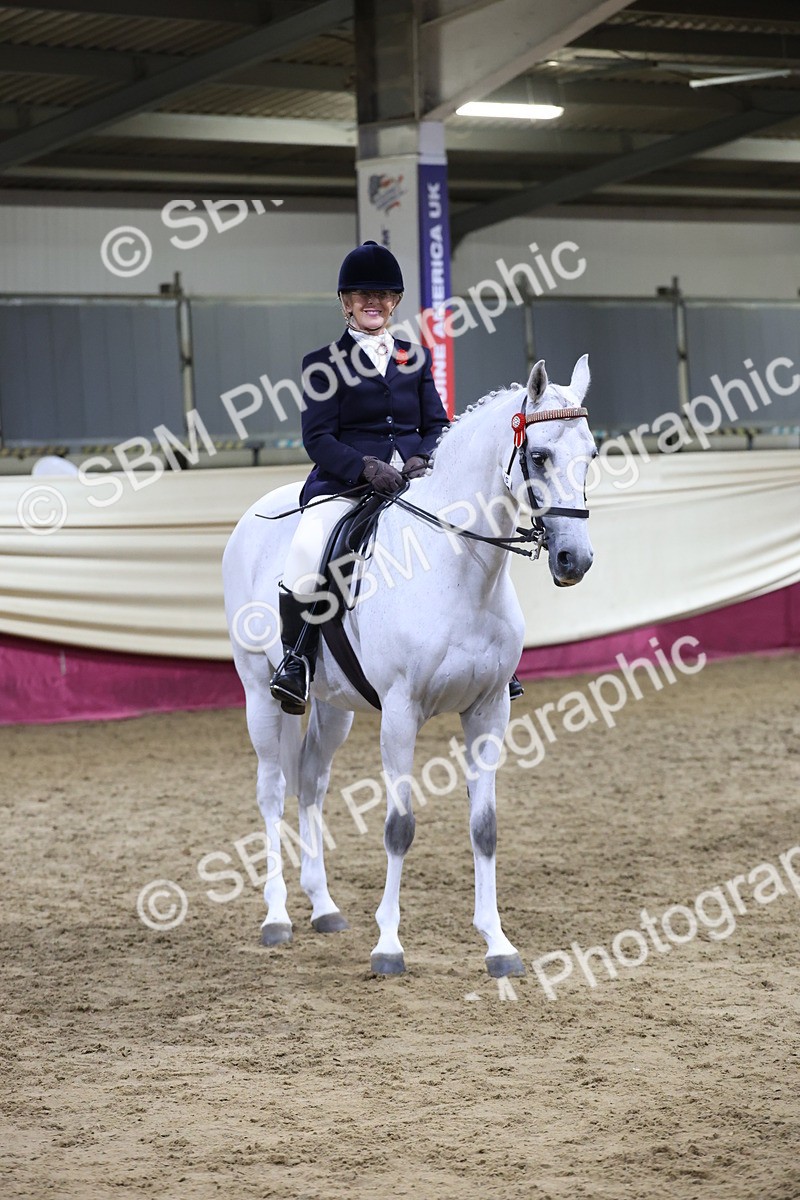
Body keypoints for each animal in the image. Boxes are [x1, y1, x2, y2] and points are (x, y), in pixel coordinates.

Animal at [222, 356, 596, 978]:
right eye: (540, 455)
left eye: (591, 453)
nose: (576, 560)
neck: (460, 568)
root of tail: (252, 516)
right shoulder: (400, 713)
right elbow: (399, 827)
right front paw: (389, 947)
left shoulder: (489, 710)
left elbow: (485, 828)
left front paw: (498, 945)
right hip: (259, 692)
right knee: (271, 789)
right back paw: (277, 918)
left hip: (334, 705)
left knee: (310, 782)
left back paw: (323, 907)